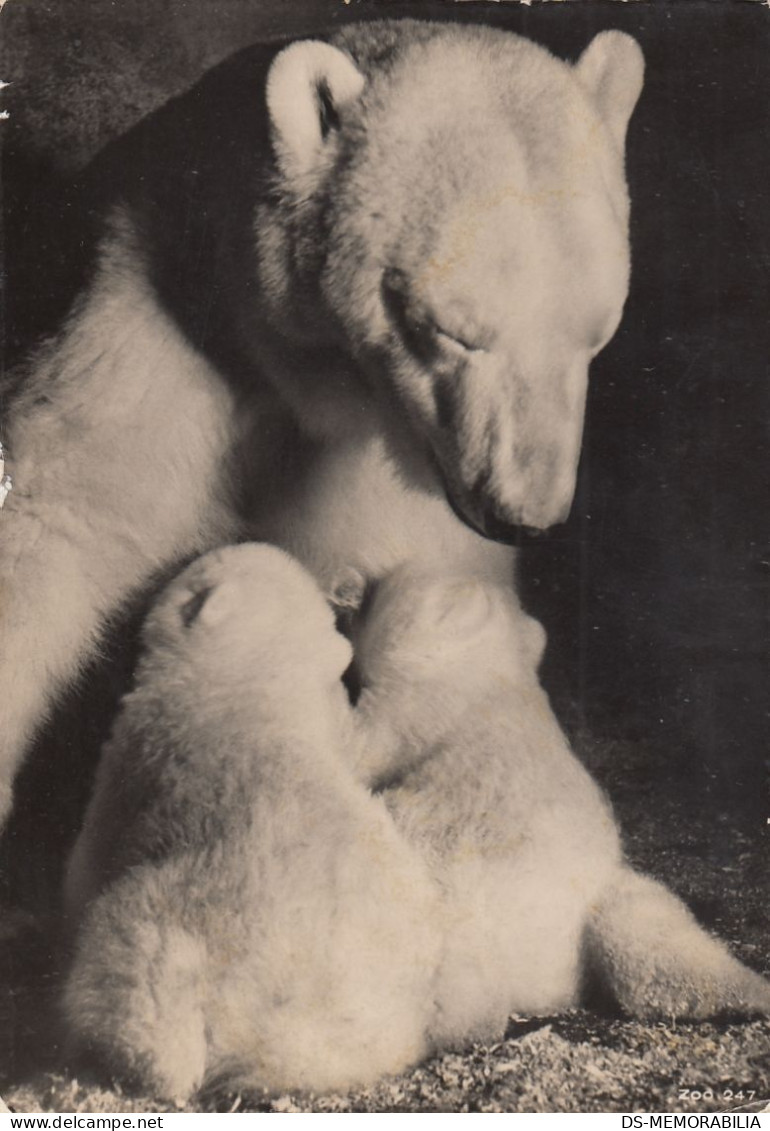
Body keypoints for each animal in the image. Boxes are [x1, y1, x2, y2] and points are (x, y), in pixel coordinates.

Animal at [0, 19, 642, 823]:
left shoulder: (387, 467)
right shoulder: (151, 318)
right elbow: (66, 505)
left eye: (598, 333)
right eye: (451, 331)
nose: (522, 516)